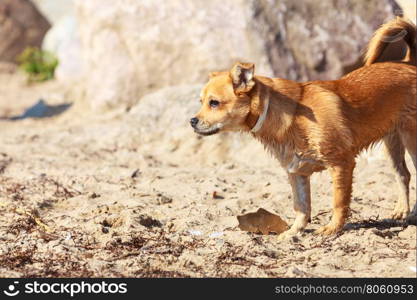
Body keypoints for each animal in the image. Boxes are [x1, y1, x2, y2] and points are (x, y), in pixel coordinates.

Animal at [190, 17, 414, 238]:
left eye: (214, 103)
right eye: (201, 102)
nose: (192, 121)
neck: (293, 115)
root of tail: (409, 63)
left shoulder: (341, 164)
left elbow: (338, 202)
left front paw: (333, 229)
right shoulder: (296, 172)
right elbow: (301, 207)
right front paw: (293, 232)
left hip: (411, 141)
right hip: (391, 143)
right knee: (403, 174)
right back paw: (403, 211)